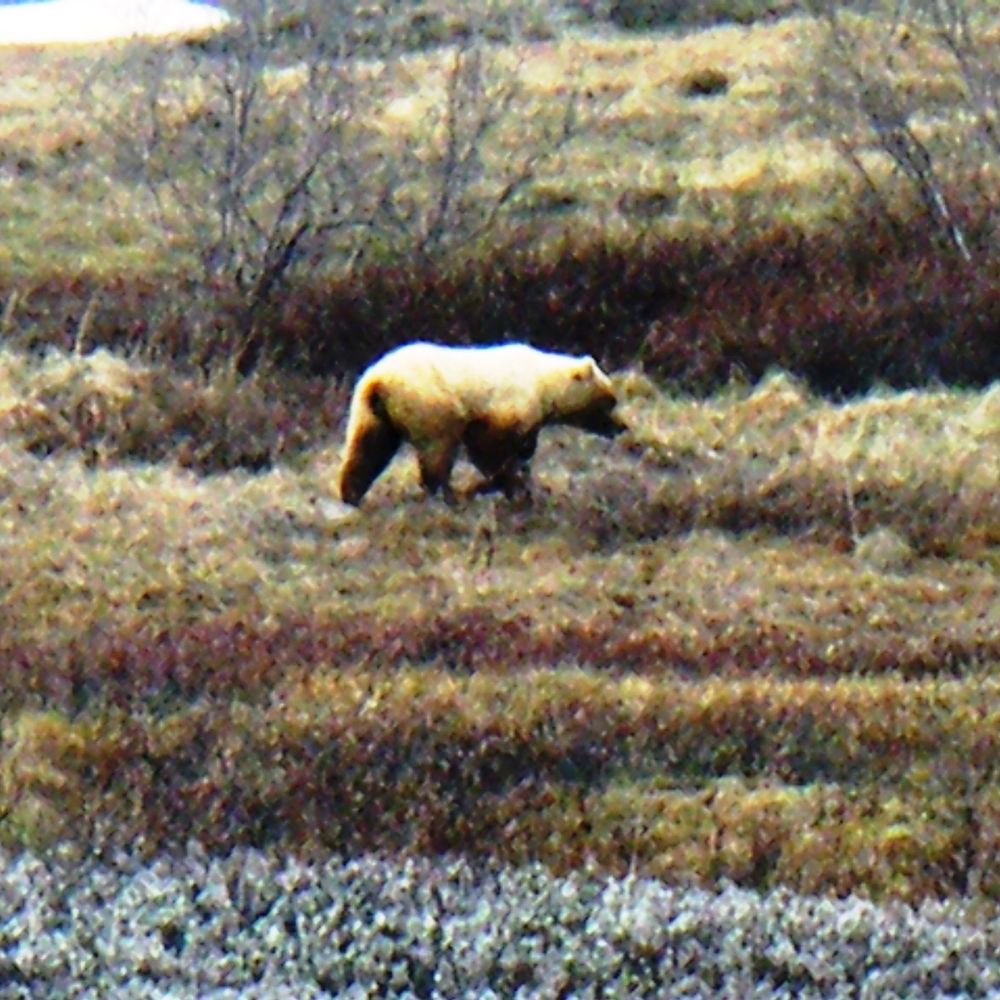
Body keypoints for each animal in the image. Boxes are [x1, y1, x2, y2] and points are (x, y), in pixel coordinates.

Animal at [338, 341, 626, 506]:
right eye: (609, 399)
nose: (621, 426)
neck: (543, 385)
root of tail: (379, 382)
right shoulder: (505, 404)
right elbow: (491, 448)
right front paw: (500, 484)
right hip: (430, 405)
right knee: (437, 452)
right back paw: (449, 495)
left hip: (371, 413)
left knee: (367, 448)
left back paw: (350, 493)